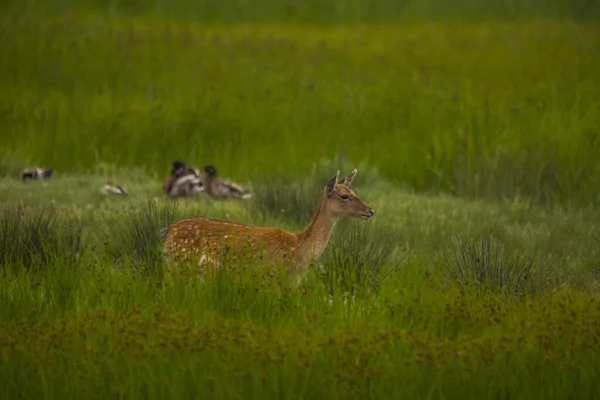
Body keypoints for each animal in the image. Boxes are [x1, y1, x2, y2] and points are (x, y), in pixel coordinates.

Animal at [159, 170, 376, 280]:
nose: (370, 211)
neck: (300, 249)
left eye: (354, 191)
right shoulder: (275, 277)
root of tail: (168, 232)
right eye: (344, 196)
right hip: (181, 265)